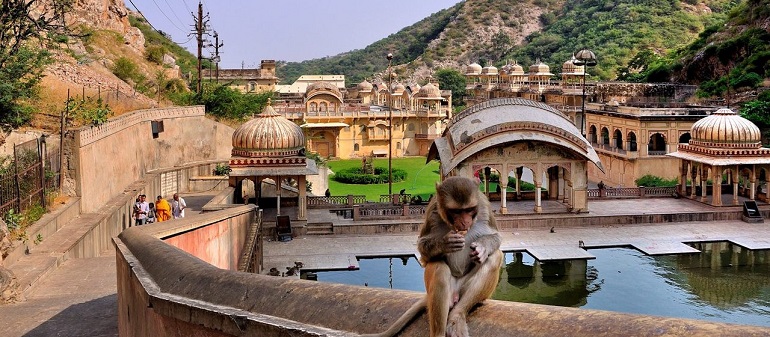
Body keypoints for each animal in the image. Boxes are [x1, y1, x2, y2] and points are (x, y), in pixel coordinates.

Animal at [362, 176, 500, 336]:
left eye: (468, 209)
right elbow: (423, 248)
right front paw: (445, 244)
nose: (465, 221)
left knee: (495, 258)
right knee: (438, 267)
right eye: (457, 211)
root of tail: (456, 292)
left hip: (466, 288)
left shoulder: (484, 206)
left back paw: (457, 316)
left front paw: (482, 248)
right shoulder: (433, 210)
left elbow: (496, 236)